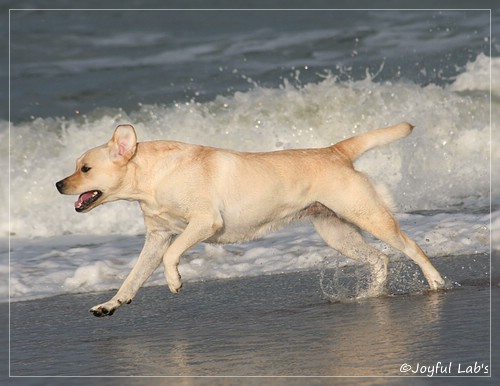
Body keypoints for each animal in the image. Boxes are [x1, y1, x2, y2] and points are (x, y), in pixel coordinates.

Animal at [56, 123, 444, 316]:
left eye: (85, 169)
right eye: (75, 166)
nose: (58, 184)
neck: (152, 178)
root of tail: (334, 150)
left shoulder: (203, 223)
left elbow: (171, 256)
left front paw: (174, 281)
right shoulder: (156, 236)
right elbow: (131, 279)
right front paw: (111, 304)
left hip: (369, 216)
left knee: (411, 247)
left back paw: (436, 283)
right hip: (336, 233)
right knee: (380, 258)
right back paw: (373, 294)